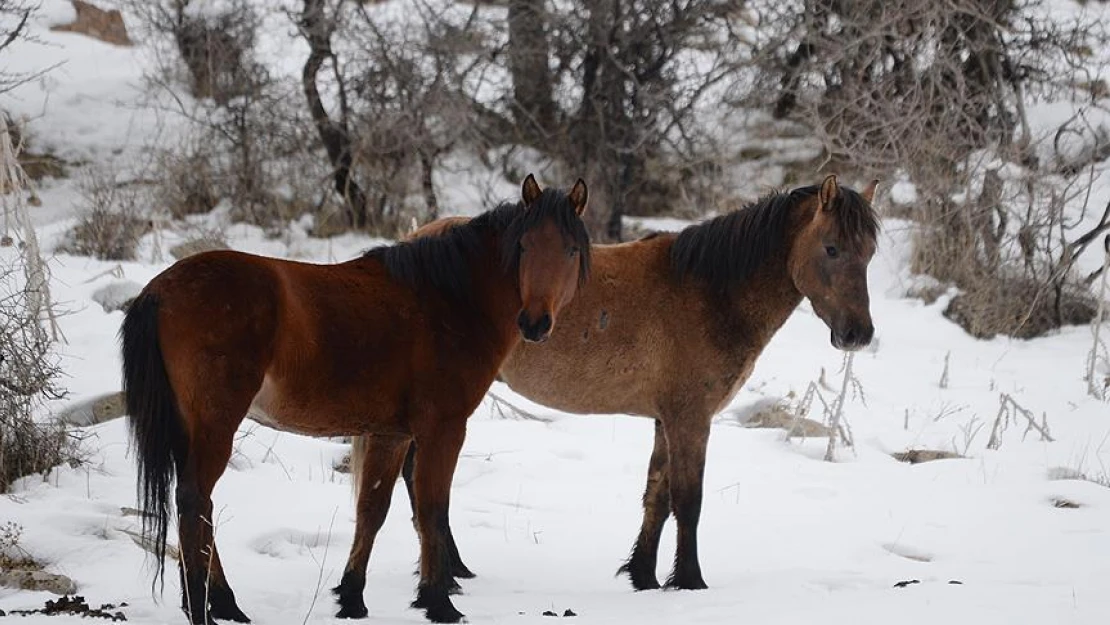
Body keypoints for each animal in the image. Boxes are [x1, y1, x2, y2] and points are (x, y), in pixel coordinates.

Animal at [119, 173, 599, 621]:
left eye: (571, 250)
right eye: (524, 246)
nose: (535, 322)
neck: (448, 300)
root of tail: (159, 291)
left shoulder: (392, 434)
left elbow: (373, 509)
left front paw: (352, 597)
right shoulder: (442, 430)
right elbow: (431, 510)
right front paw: (437, 602)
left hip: (191, 427)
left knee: (200, 508)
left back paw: (223, 603)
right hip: (216, 424)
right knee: (195, 502)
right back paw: (204, 609)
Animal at [350, 175, 879, 590]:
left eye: (870, 253)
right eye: (831, 248)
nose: (858, 334)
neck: (709, 292)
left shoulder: (667, 419)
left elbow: (657, 497)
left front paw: (643, 576)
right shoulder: (691, 420)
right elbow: (688, 501)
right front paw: (690, 582)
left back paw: (455, 569)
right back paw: (451, 571)